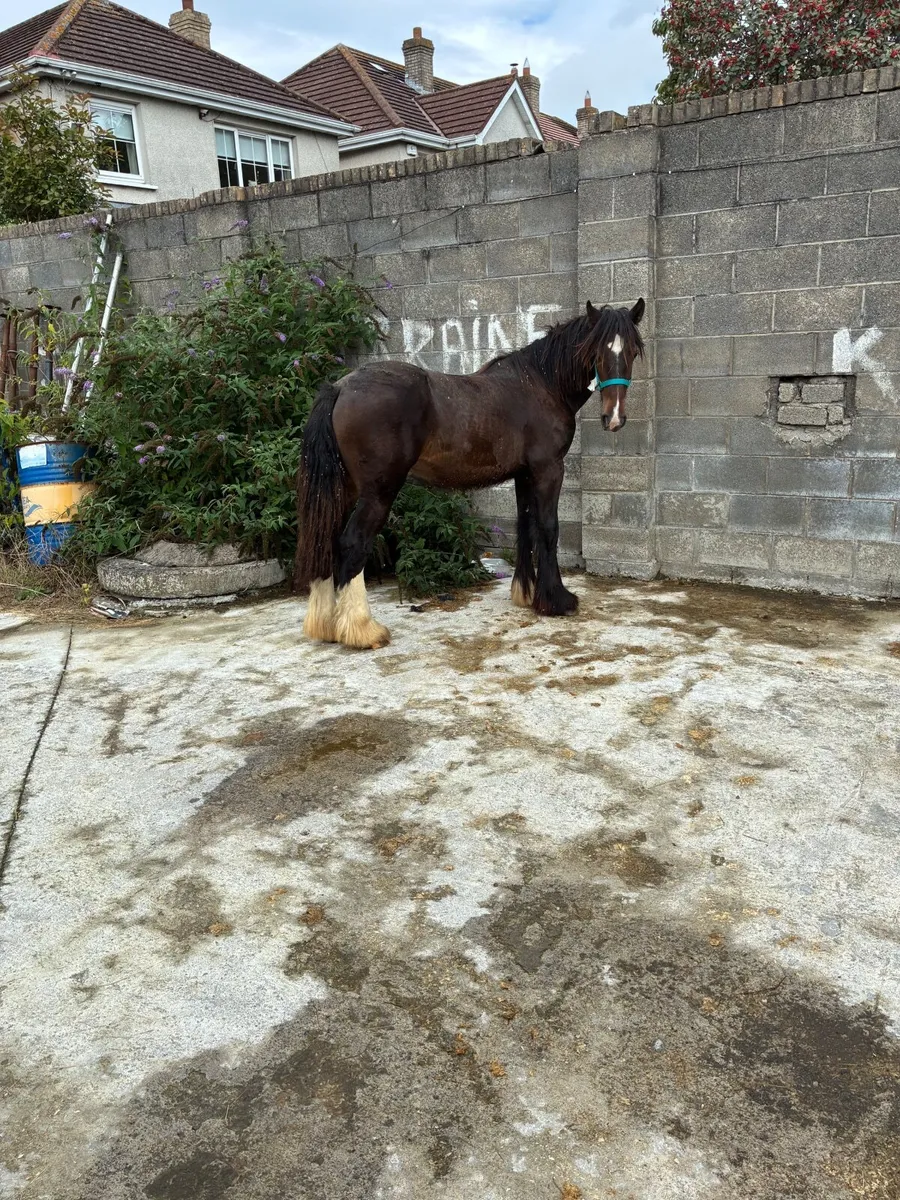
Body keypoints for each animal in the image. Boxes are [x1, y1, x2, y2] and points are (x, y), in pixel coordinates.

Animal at [293, 298, 645, 650]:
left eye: (631, 351)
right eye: (597, 352)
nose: (614, 418)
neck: (542, 385)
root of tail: (339, 387)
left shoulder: (523, 474)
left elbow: (525, 527)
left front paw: (526, 592)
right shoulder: (548, 469)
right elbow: (547, 528)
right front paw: (557, 600)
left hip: (344, 488)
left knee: (326, 538)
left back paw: (327, 626)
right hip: (378, 492)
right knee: (353, 543)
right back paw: (363, 629)